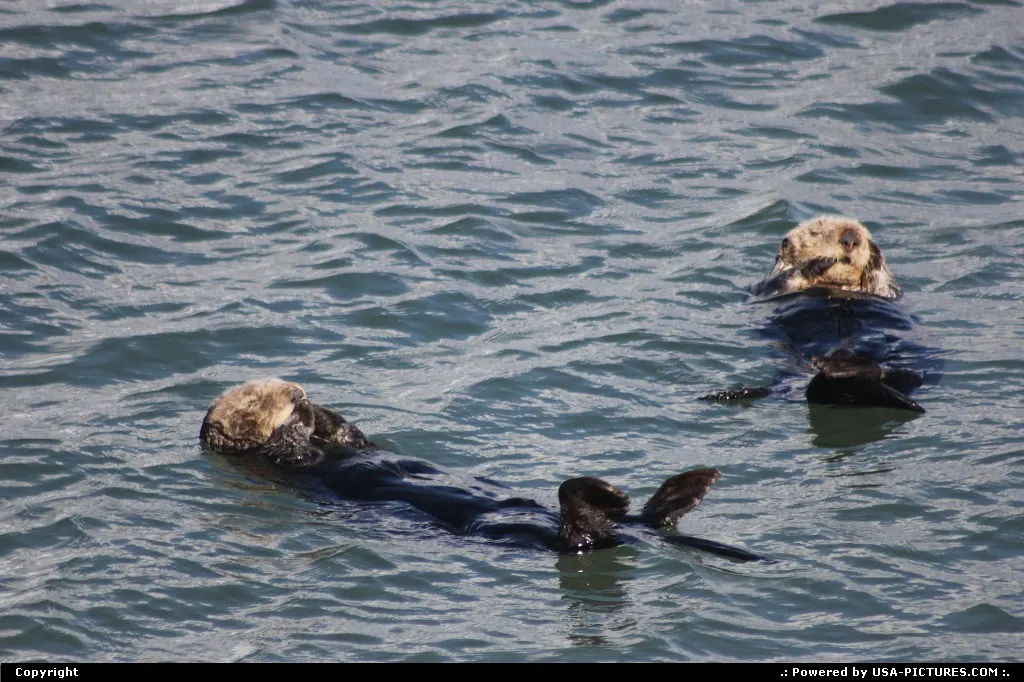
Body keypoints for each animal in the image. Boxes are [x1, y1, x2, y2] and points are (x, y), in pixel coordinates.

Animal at [201, 378, 766, 561]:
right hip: (524, 535)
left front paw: (321, 413)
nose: (297, 392)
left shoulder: (342, 444)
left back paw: (685, 488)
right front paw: (296, 417)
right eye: (257, 398)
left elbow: (353, 437)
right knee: (579, 536)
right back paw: (606, 496)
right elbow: (285, 448)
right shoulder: (271, 463)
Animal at [701, 215, 941, 412]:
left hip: (916, 367)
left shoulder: (890, 293)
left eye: (864, 235)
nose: (851, 239)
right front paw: (816, 264)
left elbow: (886, 286)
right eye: (817, 232)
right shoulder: (762, 290)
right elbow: (778, 283)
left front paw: (876, 257)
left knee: (899, 376)